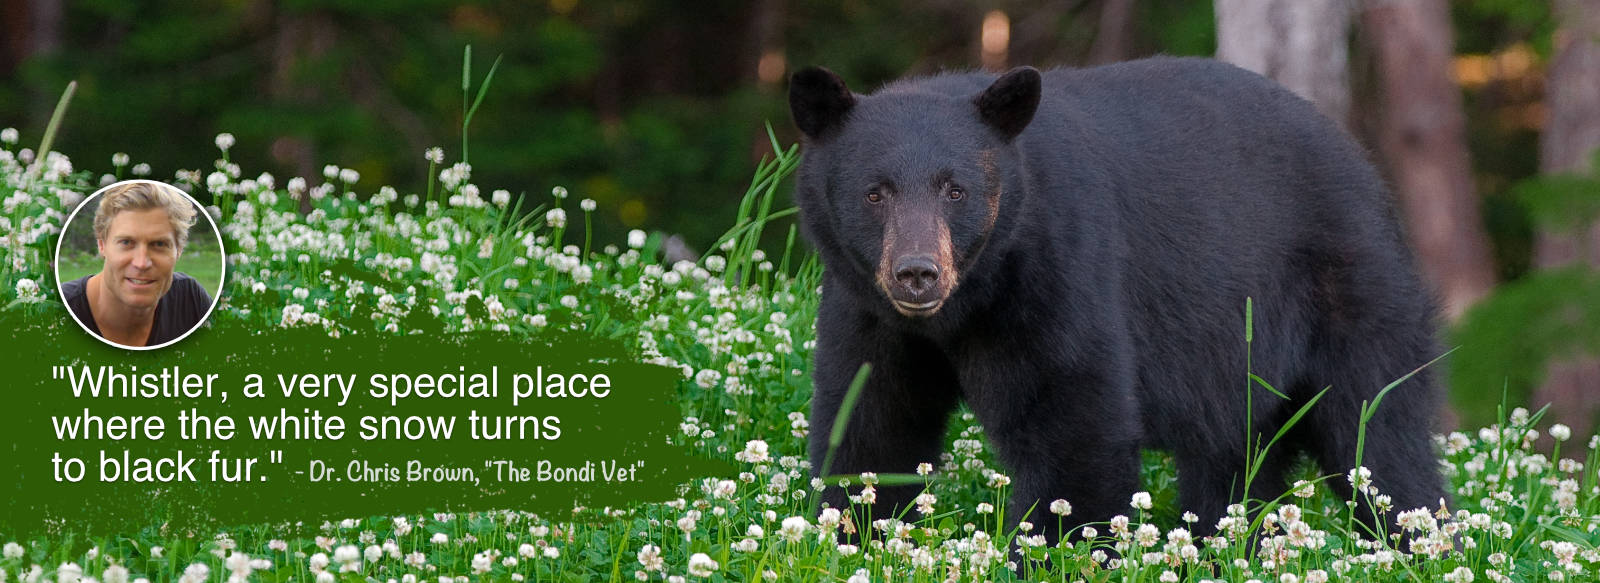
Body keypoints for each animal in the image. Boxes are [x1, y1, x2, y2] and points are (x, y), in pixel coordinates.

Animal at [788, 57, 1447, 544]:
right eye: (875, 192)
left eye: (956, 190)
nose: (917, 273)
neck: (962, 308)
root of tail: (1362, 162)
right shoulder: (867, 311)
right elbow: (873, 426)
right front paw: (855, 532)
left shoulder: (1060, 269)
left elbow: (1075, 425)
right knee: (1235, 467)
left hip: (1347, 293)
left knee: (1381, 442)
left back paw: (1425, 541)